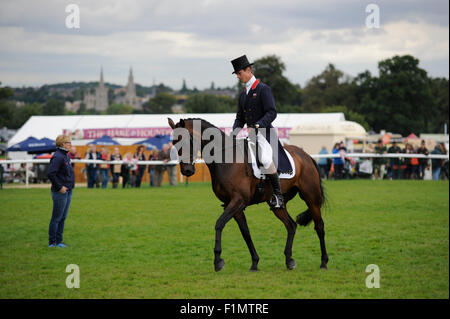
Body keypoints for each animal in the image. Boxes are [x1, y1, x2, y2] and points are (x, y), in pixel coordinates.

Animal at [168, 118, 326, 272]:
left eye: (186, 141)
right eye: (174, 143)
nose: (187, 171)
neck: (226, 160)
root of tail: (305, 155)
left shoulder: (238, 201)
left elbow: (219, 224)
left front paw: (218, 261)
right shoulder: (233, 205)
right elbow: (245, 232)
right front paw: (254, 262)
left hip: (311, 198)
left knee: (319, 226)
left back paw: (324, 262)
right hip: (278, 206)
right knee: (291, 225)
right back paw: (289, 261)